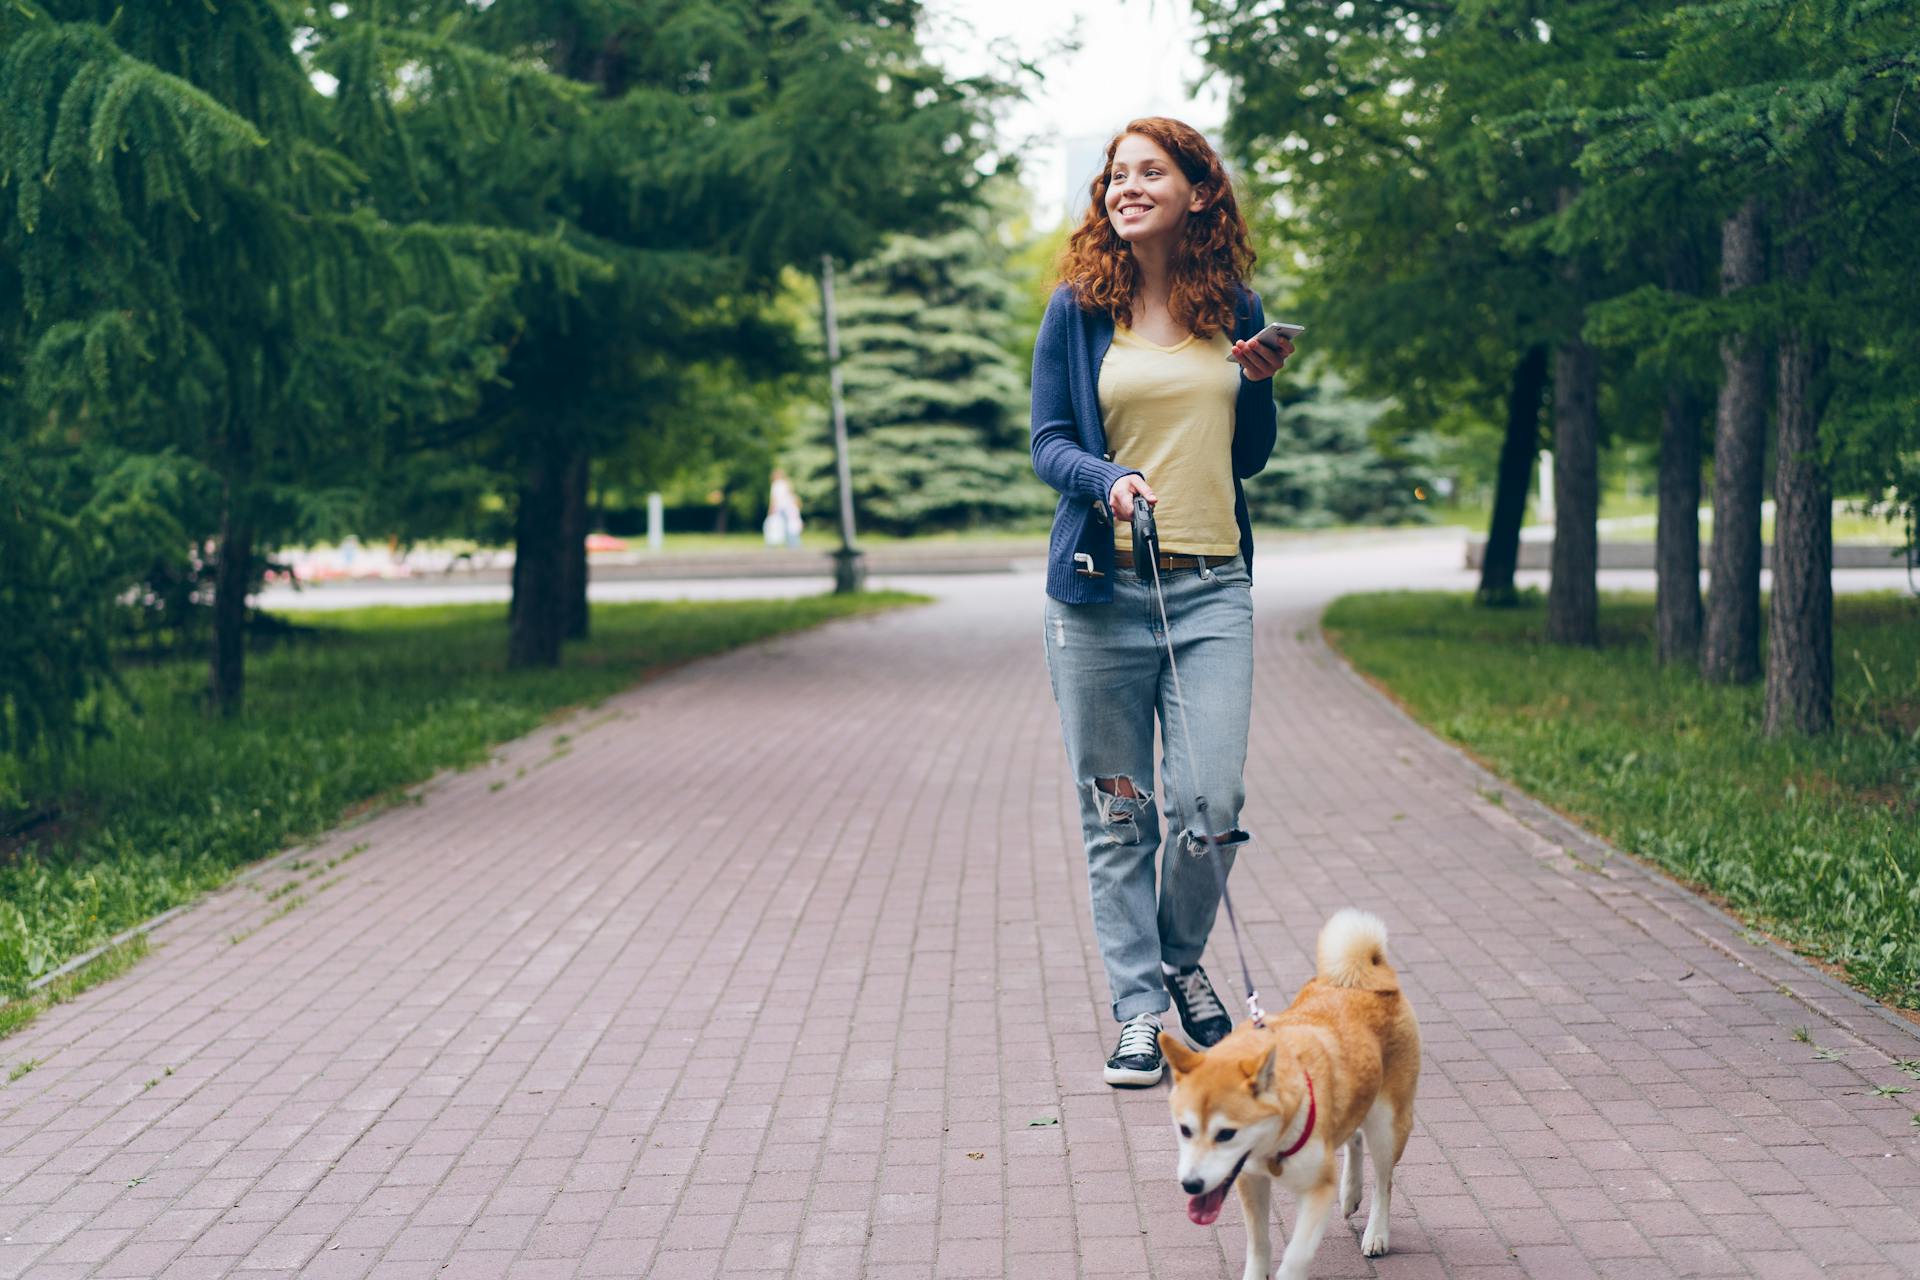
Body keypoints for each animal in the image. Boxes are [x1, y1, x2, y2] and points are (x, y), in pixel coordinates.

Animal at [1159, 909, 1420, 1280]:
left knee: (1384, 1182)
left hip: (1388, 1125)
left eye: (1226, 1134)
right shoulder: (1250, 1179)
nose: (1191, 1185)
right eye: (1185, 1130)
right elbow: (1259, 1245)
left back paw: (1376, 1234)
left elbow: (1295, 1255)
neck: (1274, 1143)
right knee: (1354, 1136)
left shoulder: (1317, 1189)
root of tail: (1371, 973)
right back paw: (1350, 1192)